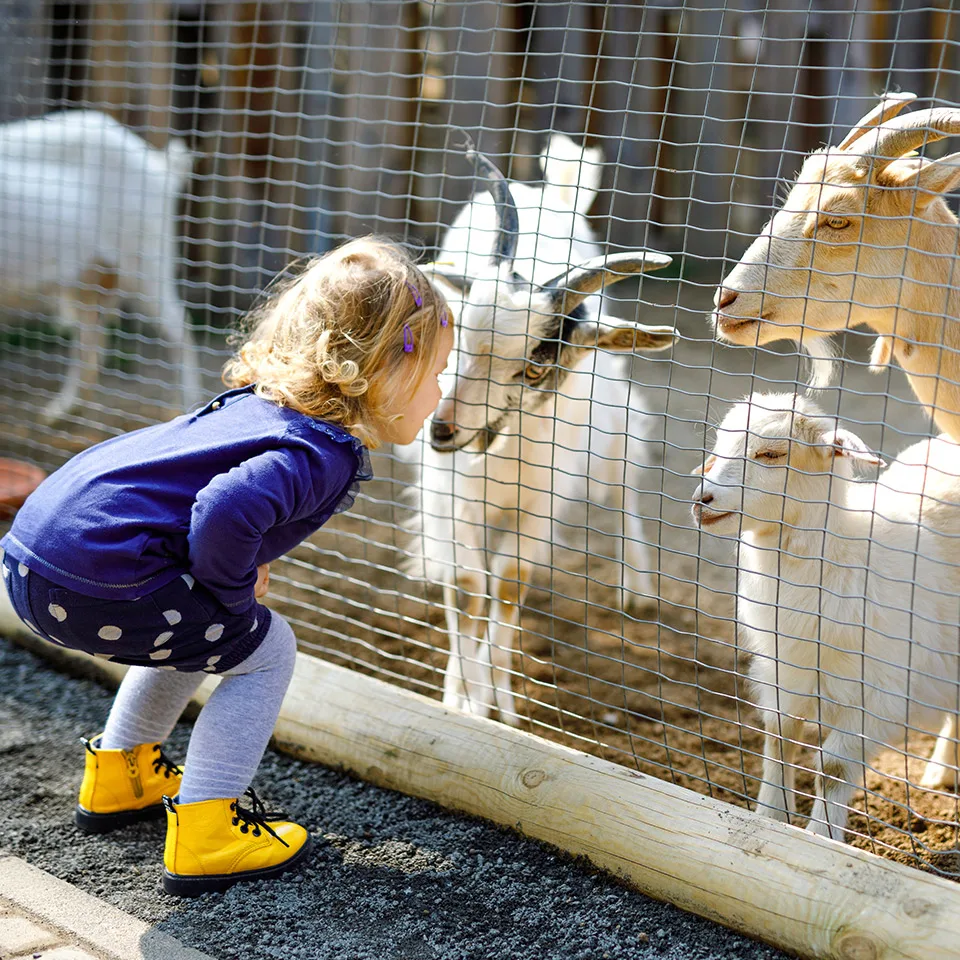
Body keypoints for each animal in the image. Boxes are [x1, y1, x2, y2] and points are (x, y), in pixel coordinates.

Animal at [0, 110, 201, 422]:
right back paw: (61, 410)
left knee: (180, 329)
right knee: (91, 341)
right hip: (86, 279)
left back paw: (190, 405)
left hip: (144, 265)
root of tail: (158, 168)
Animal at [408, 135, 677, 724]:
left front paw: (499, 705)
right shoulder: (451, 496)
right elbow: (468, 587)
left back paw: (638, 588)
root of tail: (549, 191)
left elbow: (509, 586)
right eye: (457, 335)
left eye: (533, 368)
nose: (441, 430)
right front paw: (460, 698)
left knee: (624, 488)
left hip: (613, 424)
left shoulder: (540, 504)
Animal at [691, 393, 960, 841]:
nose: (702, 500)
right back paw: (942, 773)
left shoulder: (877, 693)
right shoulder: (785, 670)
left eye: (771, 454)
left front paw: (821, 837)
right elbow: (779, 741)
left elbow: (832, 766)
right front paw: (770, 817)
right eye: (719, 447)